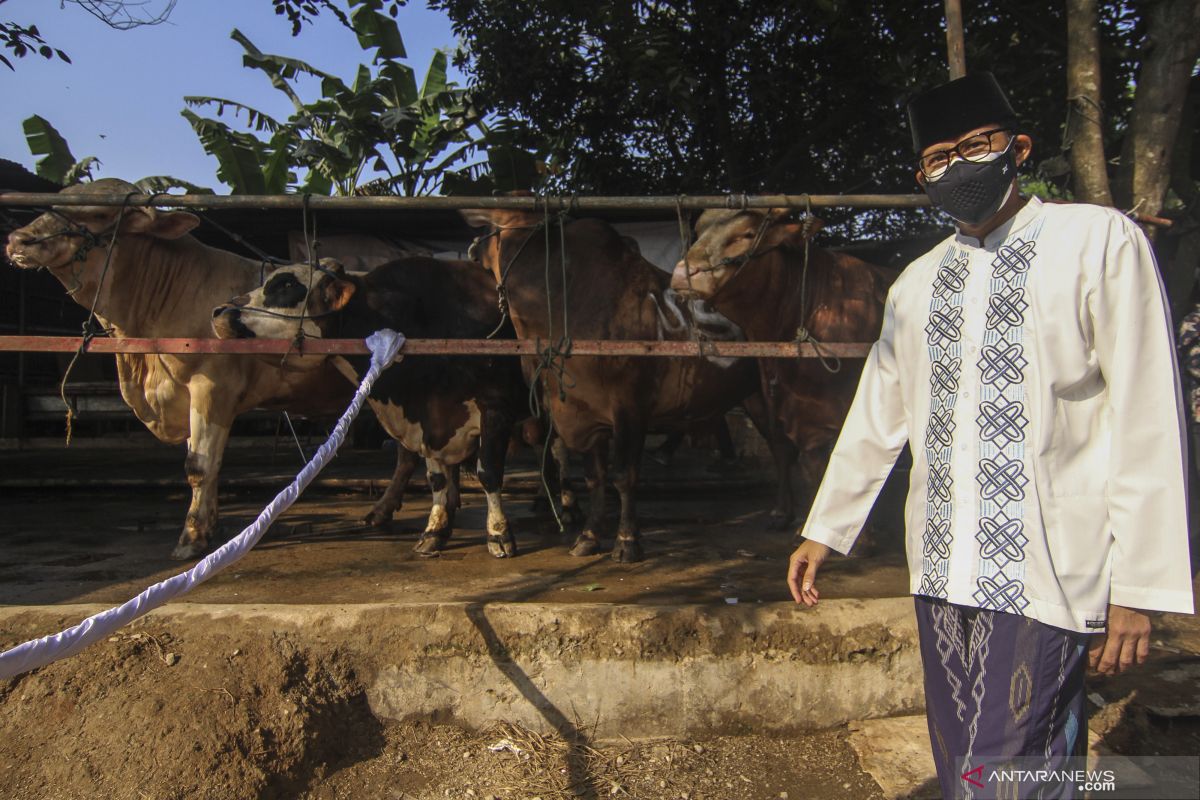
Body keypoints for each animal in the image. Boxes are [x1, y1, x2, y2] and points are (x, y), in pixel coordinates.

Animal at [4, 179, 350, 556]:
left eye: (99, 214)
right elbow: (207, 463)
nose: (18, 239)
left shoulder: (212, 387)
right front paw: (209, 526)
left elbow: (199, 465)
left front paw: (191, 538)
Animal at [458, 206, 787, 563]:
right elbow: (595, 478)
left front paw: (627, 540)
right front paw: (588, 536)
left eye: (492, 226)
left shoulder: (630, 407)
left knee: (784, 445)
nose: (472, 244)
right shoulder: (586, 414)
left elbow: (624, 476)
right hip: (753, 397)